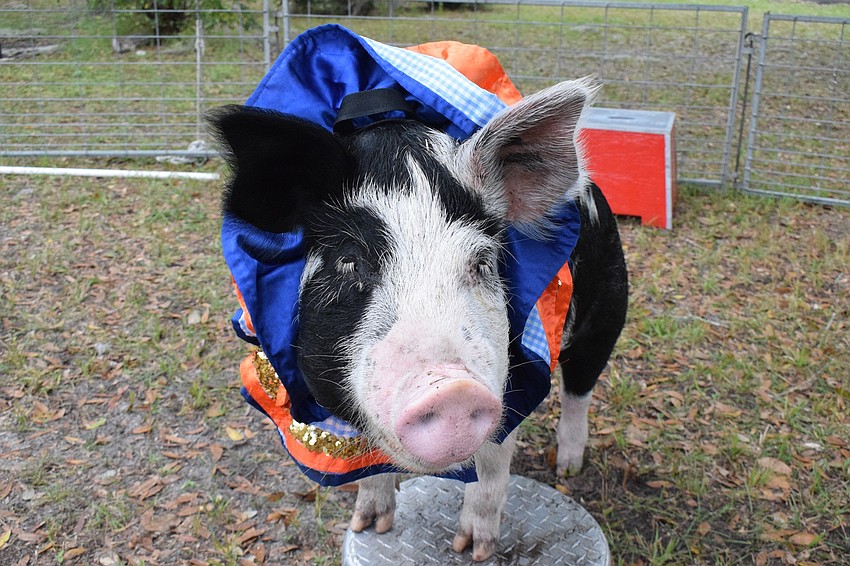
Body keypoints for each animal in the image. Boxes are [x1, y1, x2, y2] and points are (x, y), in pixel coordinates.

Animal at [209, 77, 628, 561]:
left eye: (482, 263)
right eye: (350, 262)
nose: (452, 391)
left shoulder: (514, 373)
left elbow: (492, 466)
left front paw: (473, 551)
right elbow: (366, 464)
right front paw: (370, 527)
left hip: (608, 309)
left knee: (580, 387)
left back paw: (567, 469)